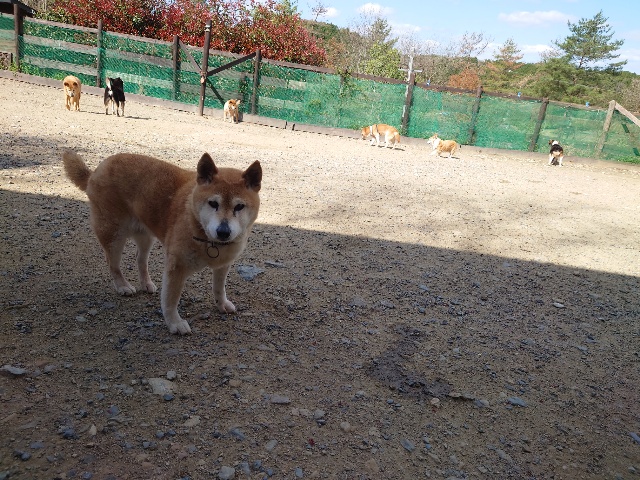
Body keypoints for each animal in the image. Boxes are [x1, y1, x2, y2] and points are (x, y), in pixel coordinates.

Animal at [63, 150, 262, 335]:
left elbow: (219, 288)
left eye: (239, 207)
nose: (223, 232)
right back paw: (123, 286)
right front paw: (174, 323)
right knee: (113, 265)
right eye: (213, 203)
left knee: (140, 260)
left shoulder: (223, 264)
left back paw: (146, 283)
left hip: (145, 236)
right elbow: (171, 299)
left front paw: (222, 304)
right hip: (114, 236)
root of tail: (96, 170)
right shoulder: (177, 266)